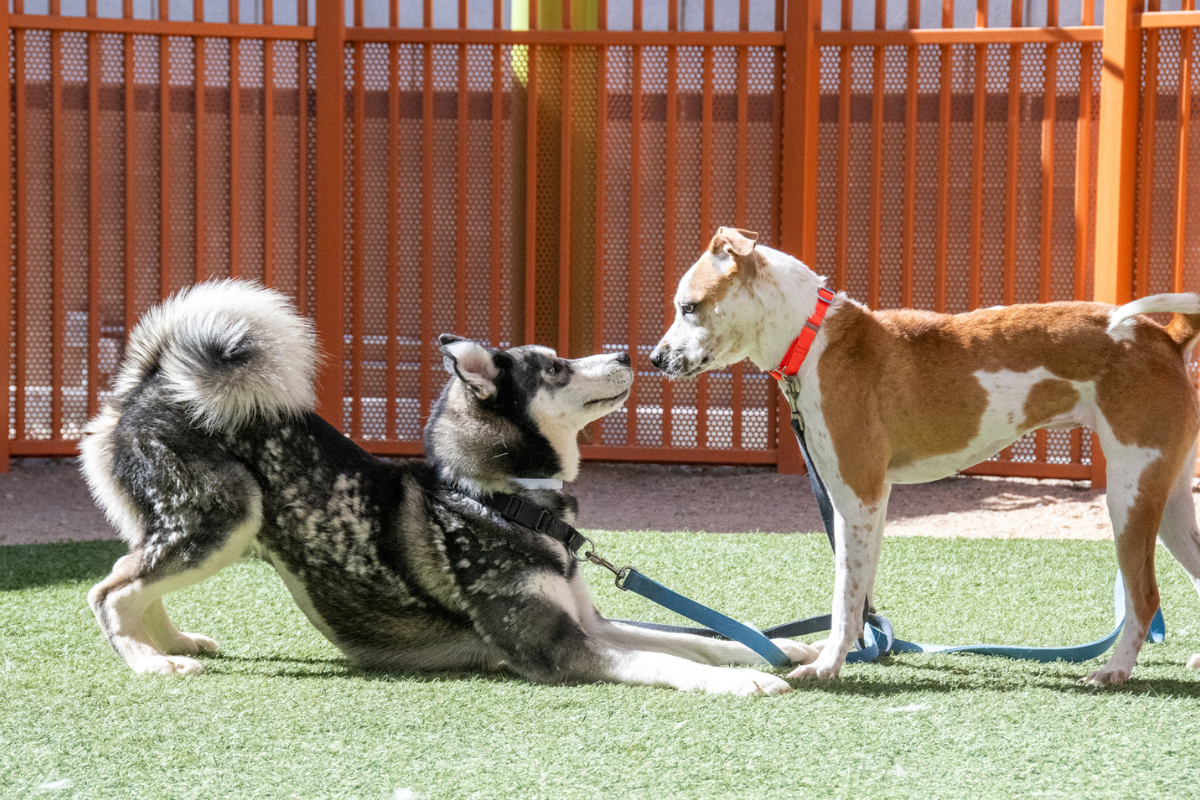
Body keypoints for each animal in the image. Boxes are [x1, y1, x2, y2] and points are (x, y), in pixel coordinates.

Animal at [79, 281, 816, 695]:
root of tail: (151, 383)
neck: (498, 497)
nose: (630, 353)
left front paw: (785, 648)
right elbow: (673, 662)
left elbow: (698, 638)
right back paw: (149, 662)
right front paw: (747, 678)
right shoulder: (558, 647)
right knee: (110, 588)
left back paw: (170, 643)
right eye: (554, 368)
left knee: (131, 573)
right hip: (226, 519)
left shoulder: (591, 621)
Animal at [652, 226, 1200, 690]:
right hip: (1168, 499)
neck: (815, 337)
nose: (655, 359)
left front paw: (827, 666)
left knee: (1145, 597)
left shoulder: (857, 497)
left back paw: (1114, 671)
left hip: (1129, 497)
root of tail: (1163, 335)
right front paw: (854, 652)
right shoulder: (872, 504)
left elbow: (844, 598)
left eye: (689, 307)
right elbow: (861, 596)